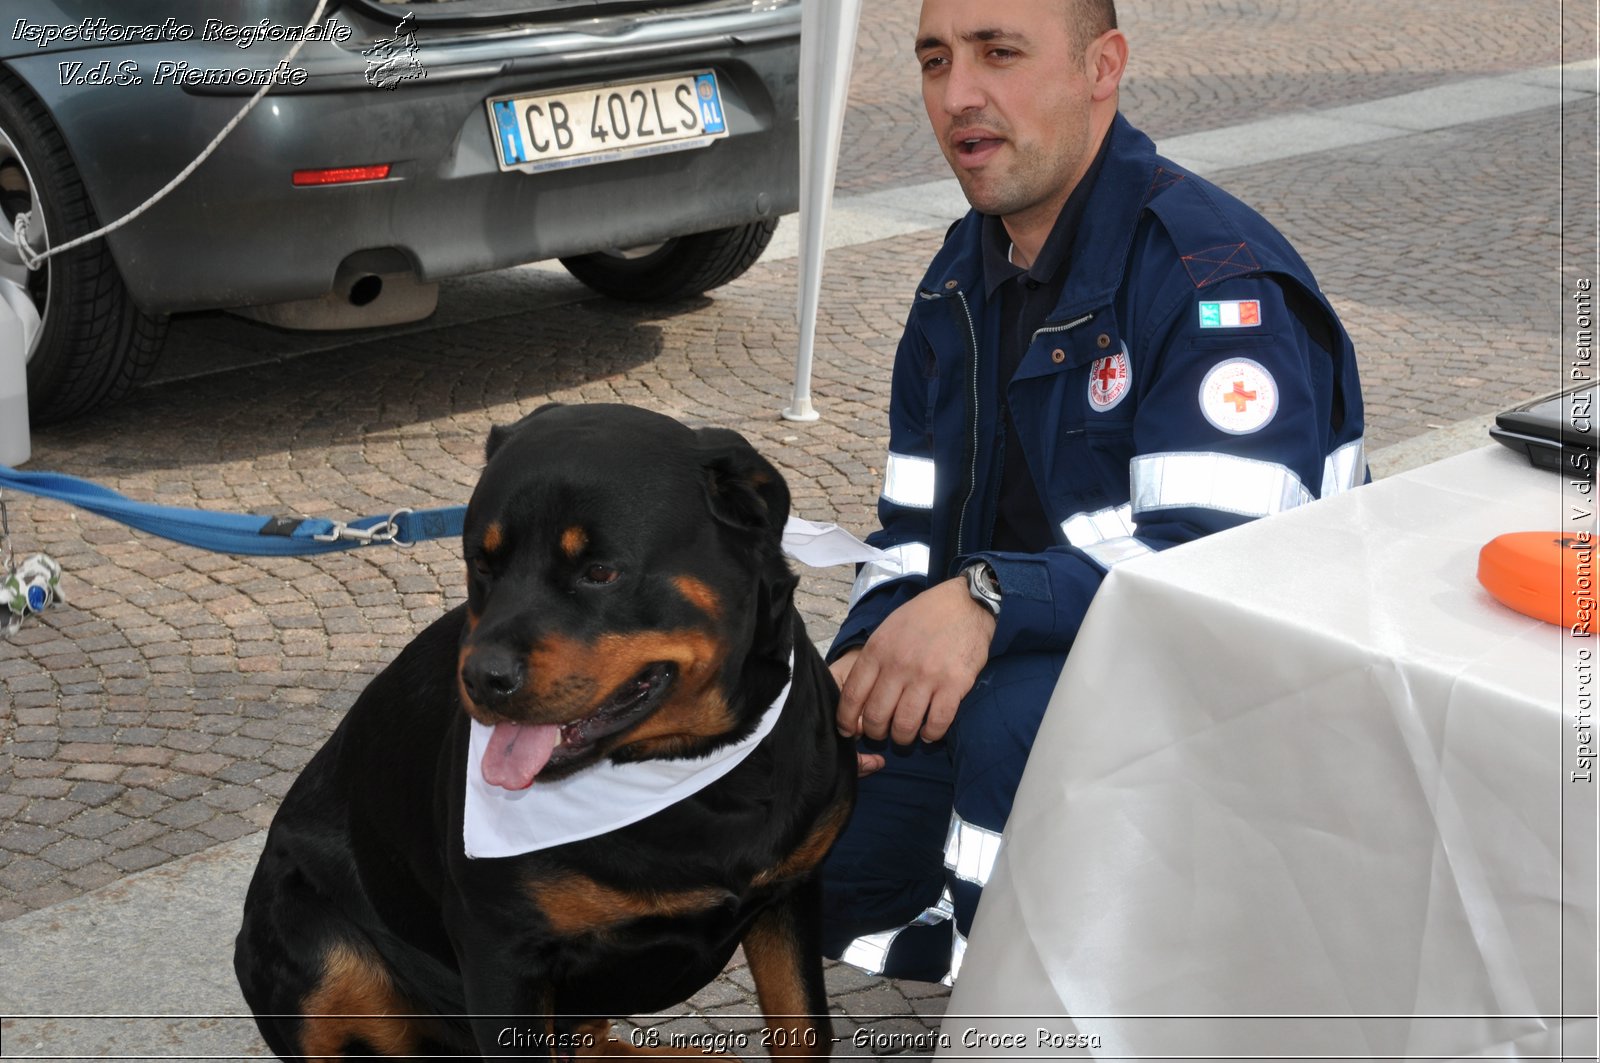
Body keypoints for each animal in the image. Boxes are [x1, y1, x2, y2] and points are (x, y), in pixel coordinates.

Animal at [233, 403, 857, 1056]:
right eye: (482, 564)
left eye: (600, 571)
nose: (481, 677)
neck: (689, 777)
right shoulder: (501, 951)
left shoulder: (790, 895)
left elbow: (803, 1025)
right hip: (316, 952)